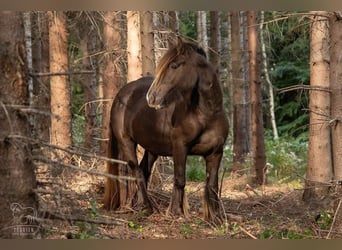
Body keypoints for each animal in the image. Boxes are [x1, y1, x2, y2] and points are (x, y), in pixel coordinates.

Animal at [103, 36, 228, 223]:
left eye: (174, 66)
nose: (151, 97)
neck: (206, 114)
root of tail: (121, 95)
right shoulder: (180, 148)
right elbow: (180, 179)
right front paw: (176, 212)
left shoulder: (216, 153)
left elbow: (212, 184)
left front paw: (215, 217)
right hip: (126, 143)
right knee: (137, 172)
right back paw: (147, 207)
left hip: (152, 149)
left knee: (144, 171)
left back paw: (139, 204)